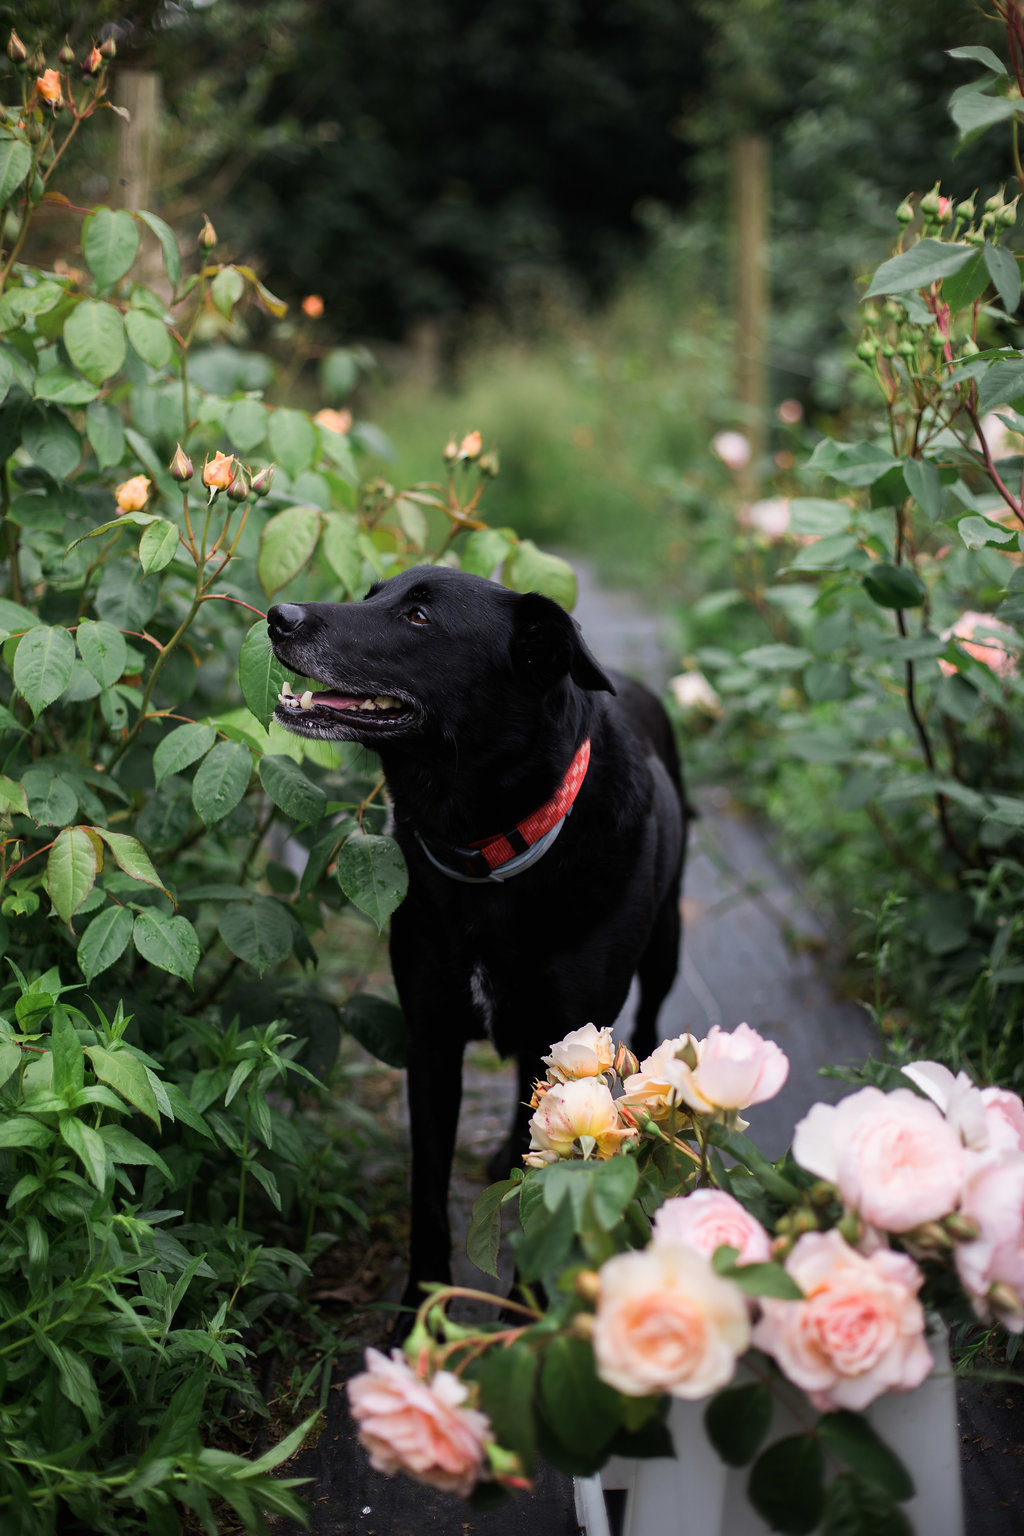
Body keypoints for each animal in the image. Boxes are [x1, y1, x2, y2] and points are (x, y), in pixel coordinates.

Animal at [270, 568, 687, 1308]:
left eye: (418, 617)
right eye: (374, 594)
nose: (276, 616)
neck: (487, 852)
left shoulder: (573, 1029)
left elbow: (551, 1197)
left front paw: (534, 1313)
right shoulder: (431, 1041)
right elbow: (428, 1192)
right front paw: (418, 1308)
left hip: (663, 947)